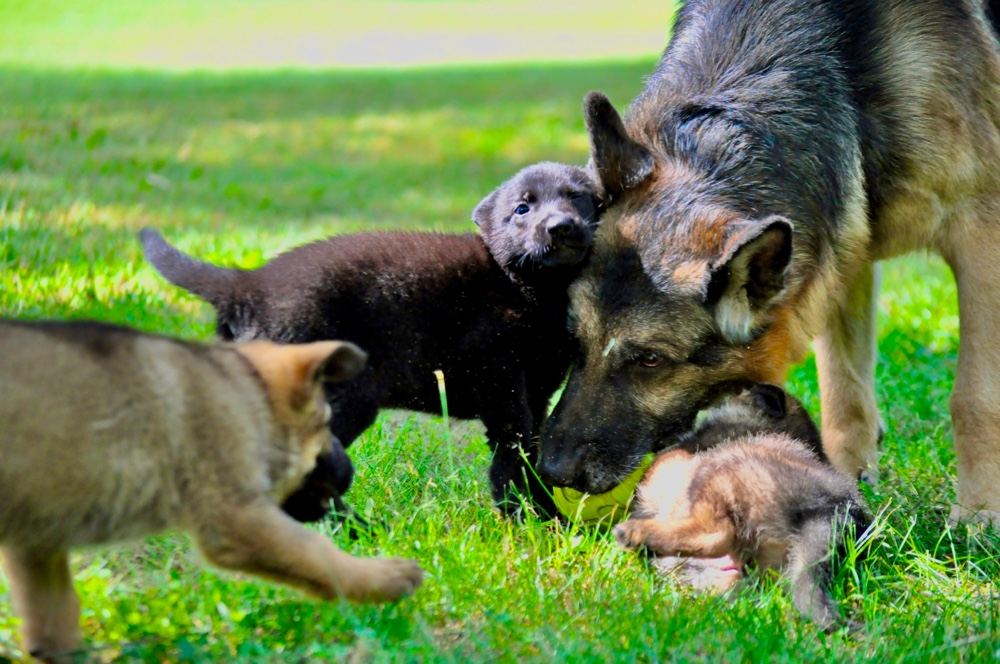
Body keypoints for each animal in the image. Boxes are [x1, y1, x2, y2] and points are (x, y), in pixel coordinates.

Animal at [0, 320, 422, 660]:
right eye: (325, 422)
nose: (350, 470)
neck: (248, 393)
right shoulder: (236, 517)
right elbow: (317, 554)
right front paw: (384, 577)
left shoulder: (37, 542)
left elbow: (55, 617)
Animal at [139, 161, 592, 520]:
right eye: (522, 208)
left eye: (579, 197)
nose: (560, 226)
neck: (527, 287)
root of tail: (247, 286)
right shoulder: (499, 381)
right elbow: (512, 455)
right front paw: (528, 519)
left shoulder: (537, 390)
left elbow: (532, 448)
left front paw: (545, 512)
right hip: (340, 402)